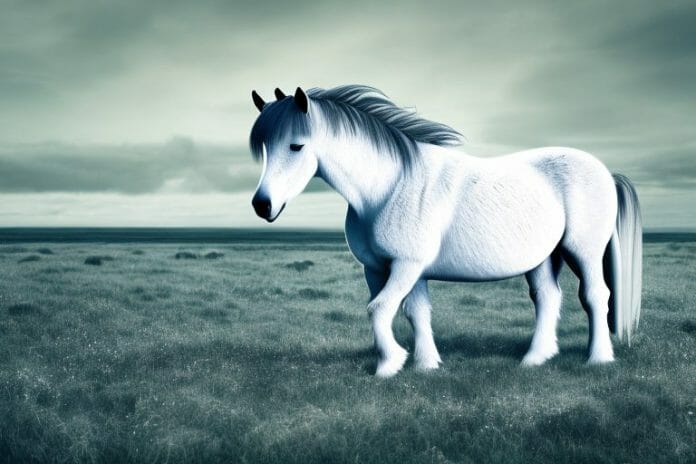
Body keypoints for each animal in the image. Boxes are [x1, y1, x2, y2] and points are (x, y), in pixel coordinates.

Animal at [248, 85, 642, 377]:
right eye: (265, 147)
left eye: (296, 145)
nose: (262, 205)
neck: (389, 187)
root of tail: (605, 172)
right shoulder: (382, 269)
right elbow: (414, 312)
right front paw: (426, 364)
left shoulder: (406, 266)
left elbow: (379, 308)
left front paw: (390, 365)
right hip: (544, 257)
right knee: (547, 298)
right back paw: (535, 359)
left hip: (583, 251)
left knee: (595, 296)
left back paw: (598, 359)